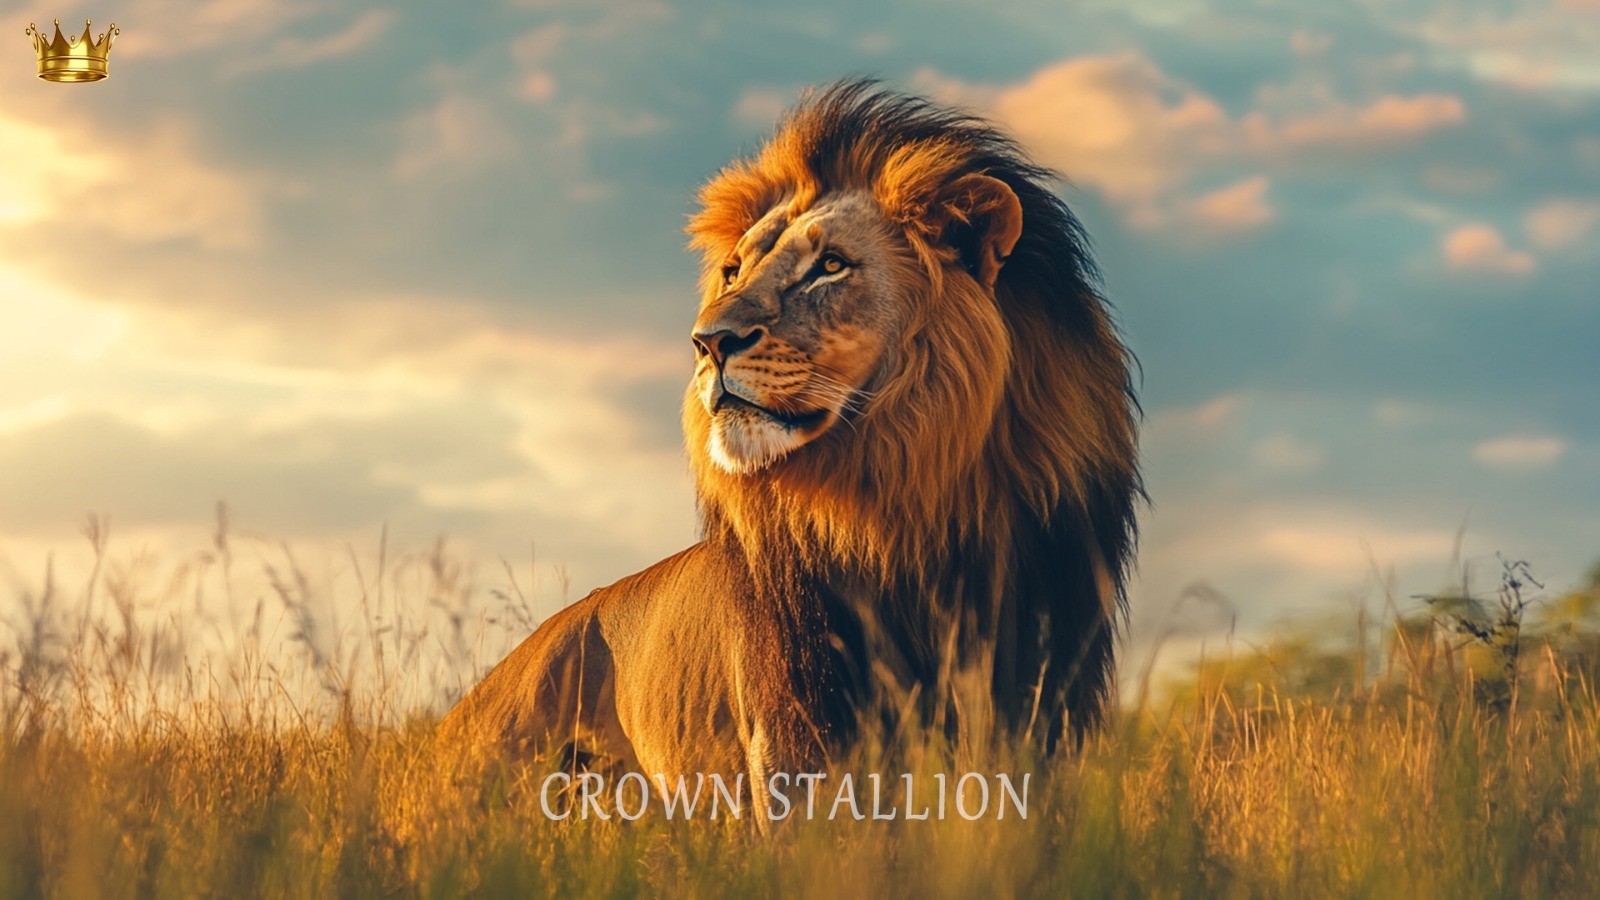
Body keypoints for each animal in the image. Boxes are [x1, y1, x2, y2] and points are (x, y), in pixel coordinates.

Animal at [440, 80, 1141, 788]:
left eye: (829, 265)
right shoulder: (795, 721)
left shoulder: (1044, 701)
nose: (707, 341)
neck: (903, 511)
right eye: (732, 272)